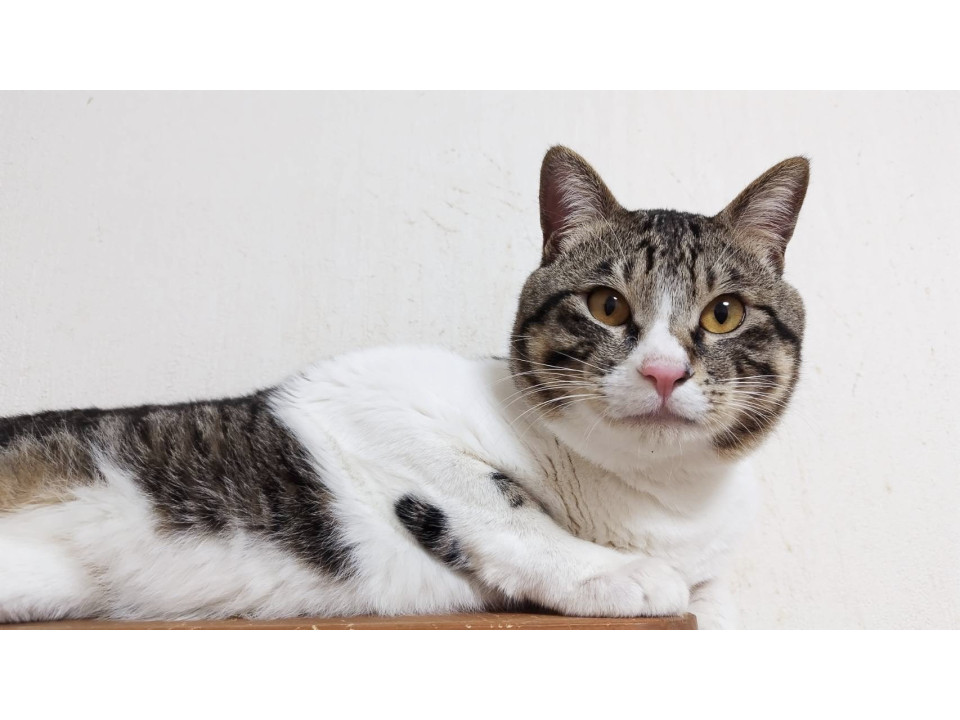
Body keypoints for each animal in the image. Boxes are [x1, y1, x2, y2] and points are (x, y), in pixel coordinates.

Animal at [0, 146, 808, 629]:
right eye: (607, 305)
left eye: (724, 314)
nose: (663, 371)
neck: (651, 500)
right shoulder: (365, 393)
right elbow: (499, 501)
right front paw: (617, 574)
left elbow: (716, 604)